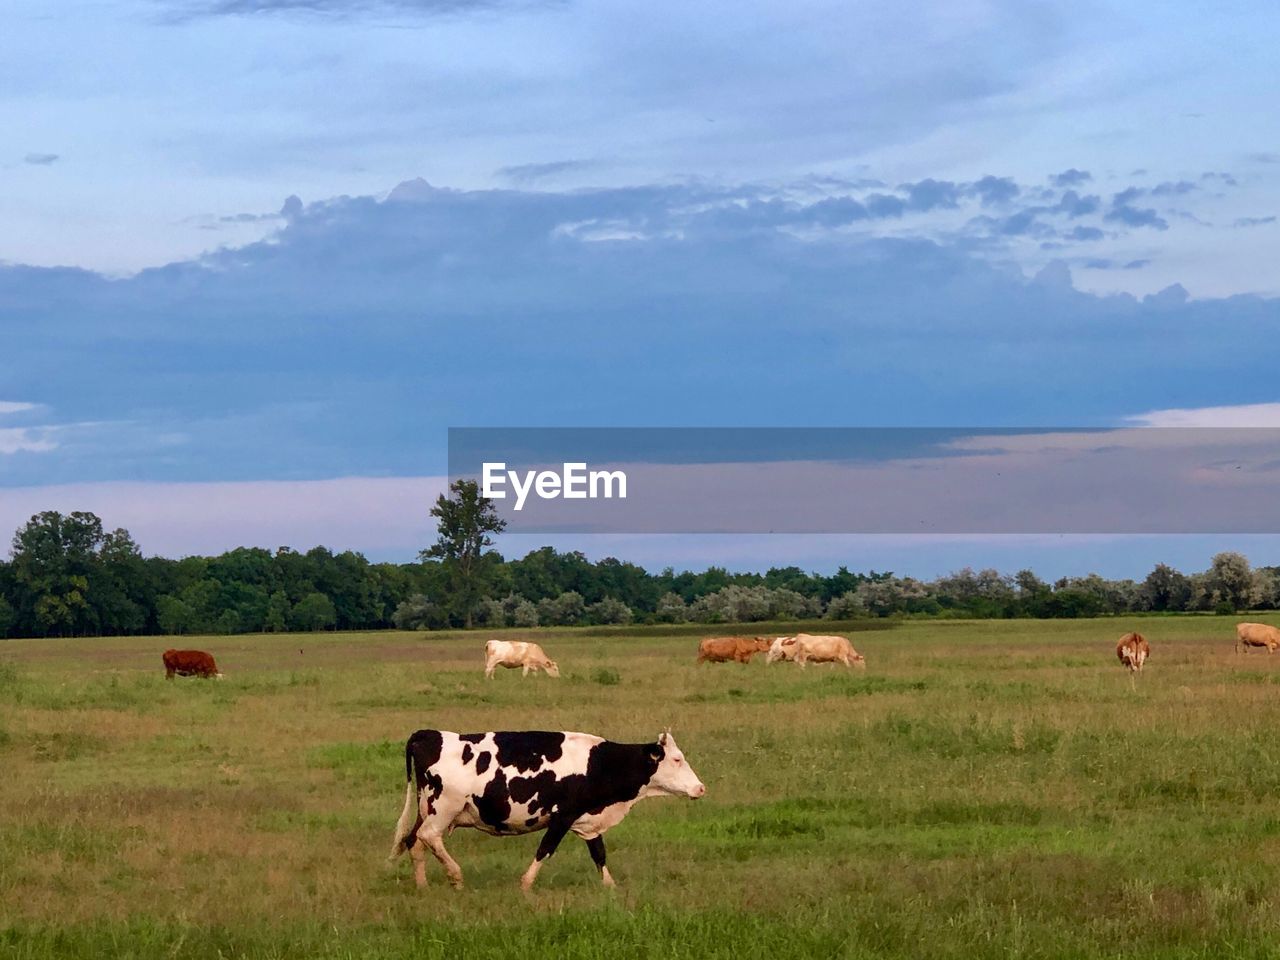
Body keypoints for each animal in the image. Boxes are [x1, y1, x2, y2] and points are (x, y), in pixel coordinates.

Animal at [389, 727, 711, 896]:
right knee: (429, 837)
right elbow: (545, 848)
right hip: (443, 809)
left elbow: (599, 854)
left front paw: (611, 887)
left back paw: (423, 886)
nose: (701, 788)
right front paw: (526, 884)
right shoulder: (563, 816)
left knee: (414, 841)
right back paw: (455, 876)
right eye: (677, 759)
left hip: (427, 808)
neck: (600, 762)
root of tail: (431, 734)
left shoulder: (588, 822)